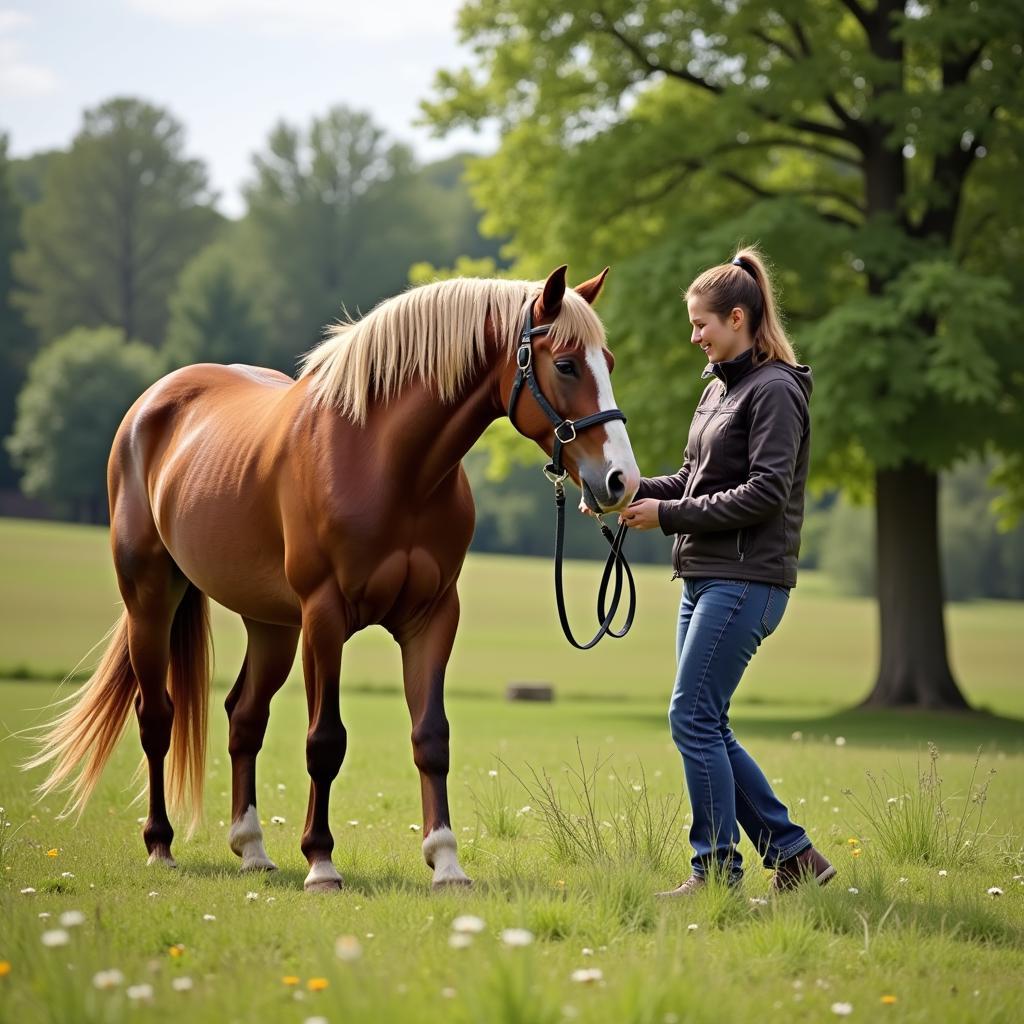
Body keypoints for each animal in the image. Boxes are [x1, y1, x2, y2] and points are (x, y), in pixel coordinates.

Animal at [28, 268, 638, 892]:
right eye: (566, 364)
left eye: (609, 361)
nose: (622, 480)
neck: (387, 463)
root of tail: (151, 405)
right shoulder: (324, 616)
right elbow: (325, 740)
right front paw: (320, 862)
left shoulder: (433, 618)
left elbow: (431, 737)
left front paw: (446, 861)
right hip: (151, 600)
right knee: (157, 717)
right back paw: (161, 845)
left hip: (270, 624)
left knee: (244, 718)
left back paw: (252, 849)